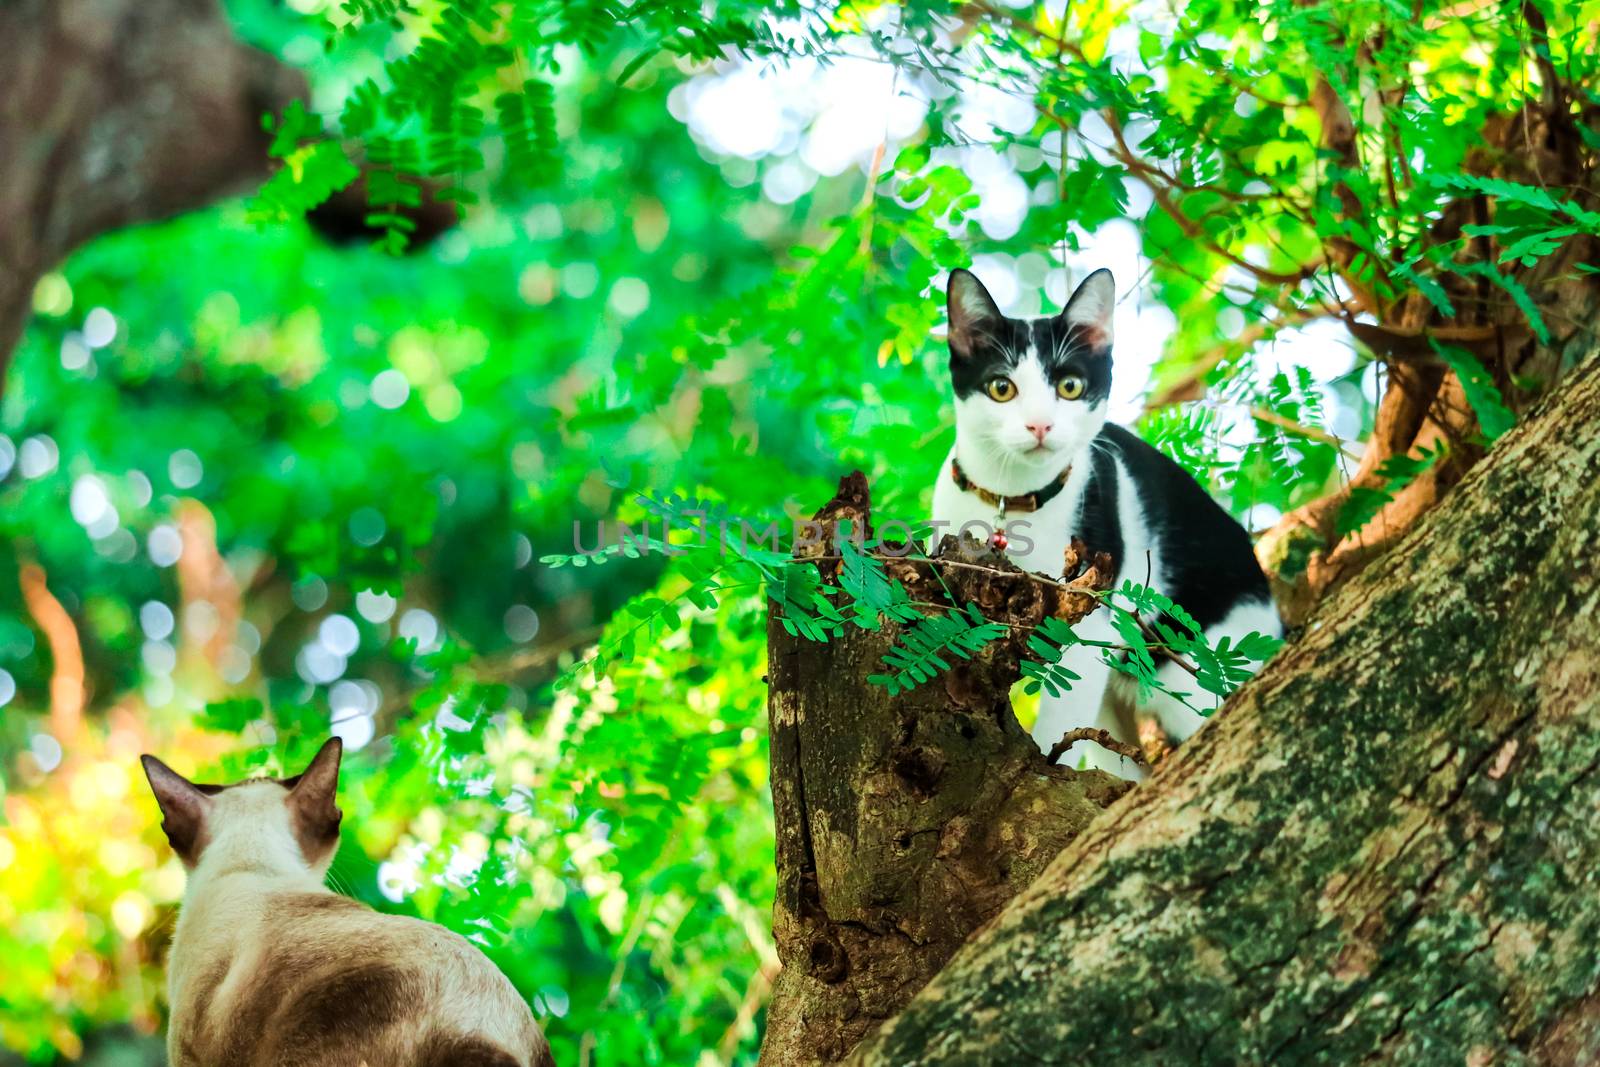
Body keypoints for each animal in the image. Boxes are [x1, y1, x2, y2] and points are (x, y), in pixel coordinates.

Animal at [934, 271, 1280, 780]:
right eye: (1001, 388)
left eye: (1070, 386)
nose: (1040, 426)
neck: (1011, 499)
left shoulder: (1089, 618)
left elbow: (1057, 721)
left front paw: (1040, 767)